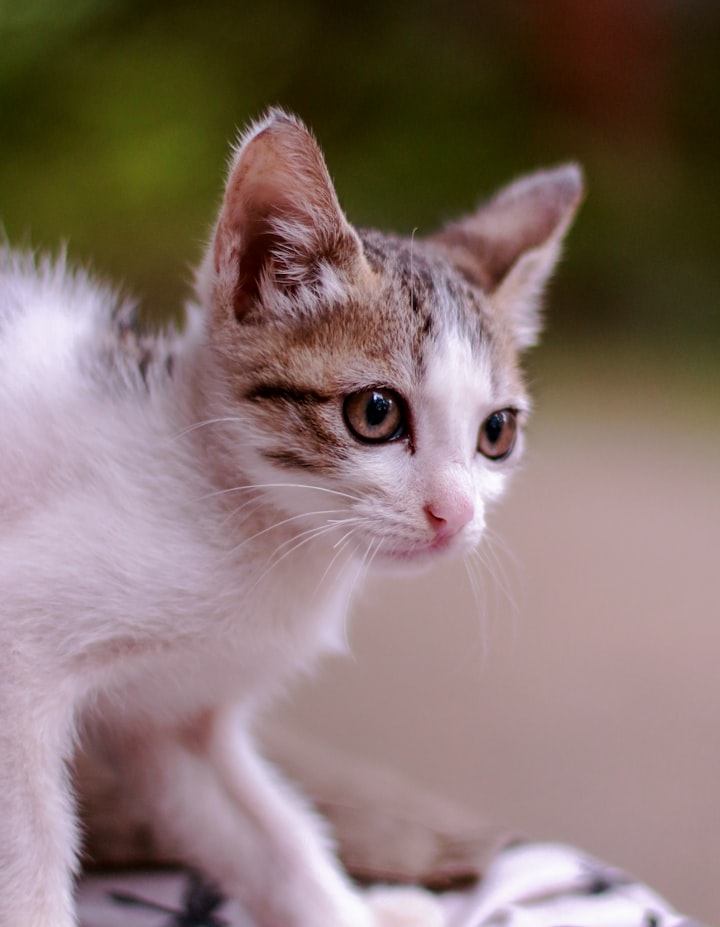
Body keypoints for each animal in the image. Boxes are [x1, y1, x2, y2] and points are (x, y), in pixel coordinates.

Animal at [0, 110, 584, 927]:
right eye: (376, 412)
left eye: (496, 431)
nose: (456, 513)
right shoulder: (17, 645)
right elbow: (30, 850)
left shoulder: (172, 720)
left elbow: (273, 841)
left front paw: (351, 910)